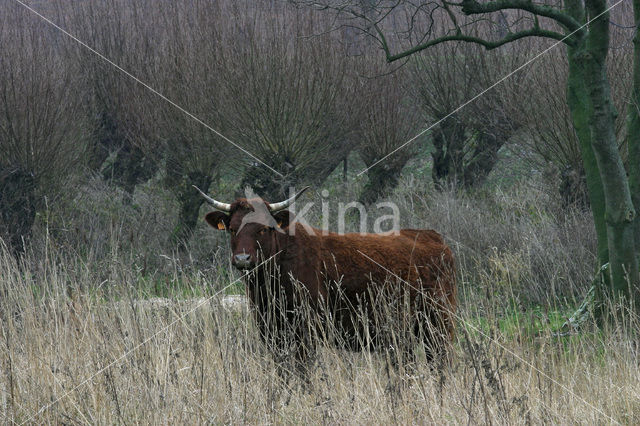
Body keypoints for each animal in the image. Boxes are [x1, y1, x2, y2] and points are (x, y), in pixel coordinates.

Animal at [198, 186, 458, 370]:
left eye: (264, 228)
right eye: (232, 229)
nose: (242, 259)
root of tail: (431, 236)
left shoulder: (305, 330)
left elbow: (303, 371)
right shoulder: (271, 331)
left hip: (438, 325)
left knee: (440, 366)